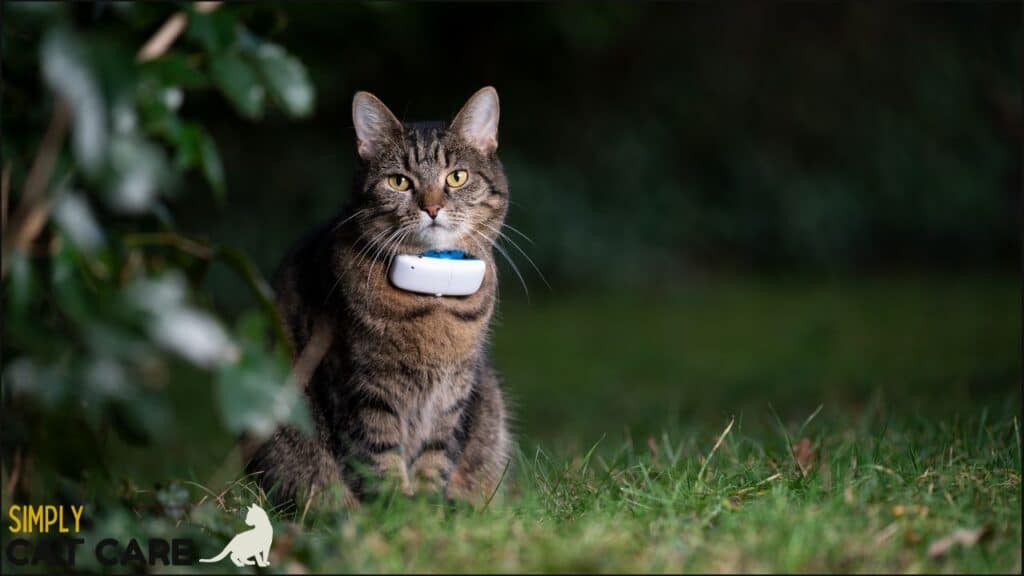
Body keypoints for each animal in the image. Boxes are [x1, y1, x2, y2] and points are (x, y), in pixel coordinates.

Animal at [244, 86, 516, 506]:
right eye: (399, 182)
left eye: (457, 177)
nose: (432, 207)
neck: (433, 296)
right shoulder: (361, 388)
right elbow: (378, 456)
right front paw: (396, 510)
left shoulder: (453, 393)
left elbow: (435, 454)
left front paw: (427, 507)